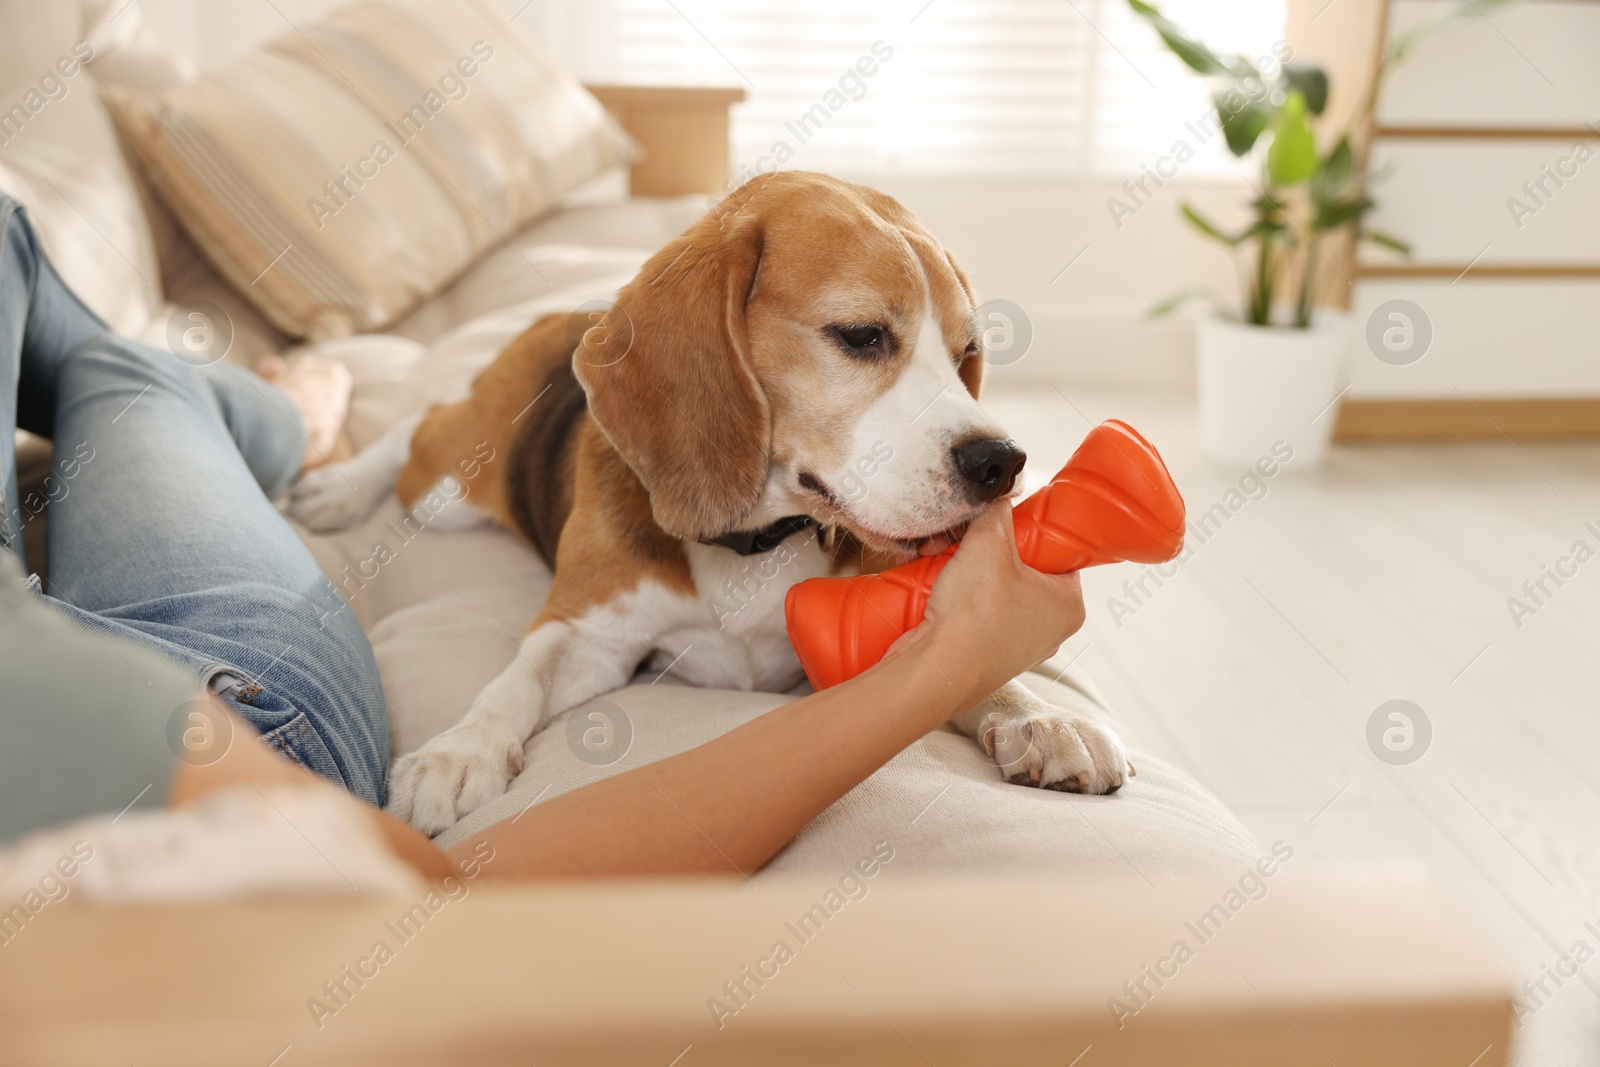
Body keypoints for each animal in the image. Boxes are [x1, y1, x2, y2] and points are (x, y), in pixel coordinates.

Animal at [291, 171, 1139, 831]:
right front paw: (459, 749)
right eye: (861, 335)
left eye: (967, 354)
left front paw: (1039, 715)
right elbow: (516, 678)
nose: (1002, 462)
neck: (757, 538)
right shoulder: (588, 633)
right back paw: (339, 487)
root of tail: (571, 316)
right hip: (453, 487)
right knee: (419, 426)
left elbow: (973, 668)